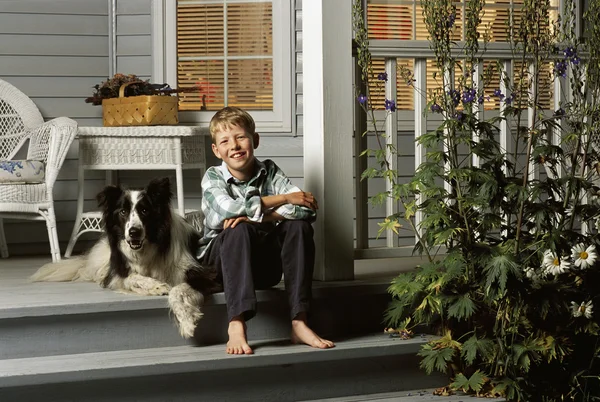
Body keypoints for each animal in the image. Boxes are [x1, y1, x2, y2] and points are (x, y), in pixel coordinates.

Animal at [30, 177, 218, 338]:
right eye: (122, 212)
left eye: (145, 210)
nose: (134, 232)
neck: (148, 249)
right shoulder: (119, 271)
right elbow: (132, 278)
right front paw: (156, 286)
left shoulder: (203, 273)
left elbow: (177, 290)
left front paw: (186, 321)